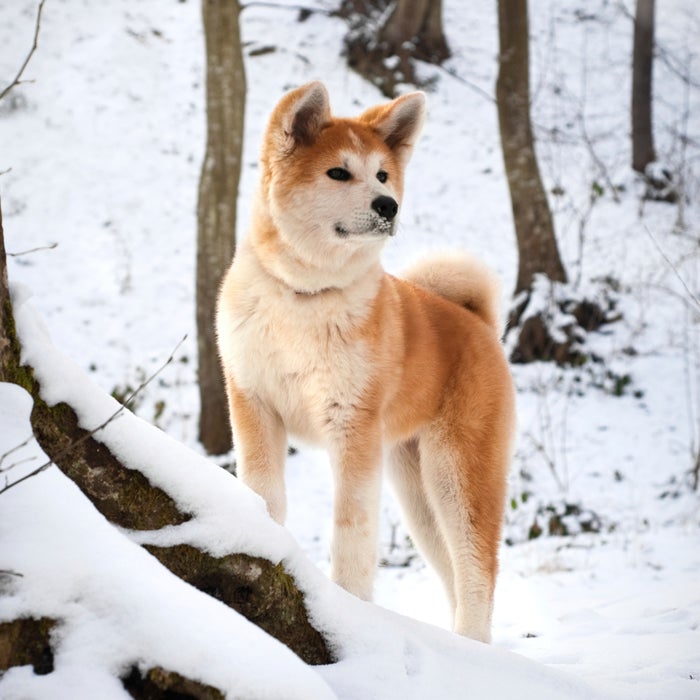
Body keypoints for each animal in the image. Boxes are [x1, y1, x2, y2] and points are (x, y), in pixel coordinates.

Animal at [215, 82, 516, 644]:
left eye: (381, 174)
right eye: (339, 172)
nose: (388, 205)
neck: (306, 296)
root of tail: (478, 322)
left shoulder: (351, 425)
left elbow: (351, 536)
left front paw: (350, 611)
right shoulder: (254, 404)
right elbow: (265, 495)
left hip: (457, 473)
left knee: (478, 571)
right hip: (416, 486)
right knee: (453, 572)